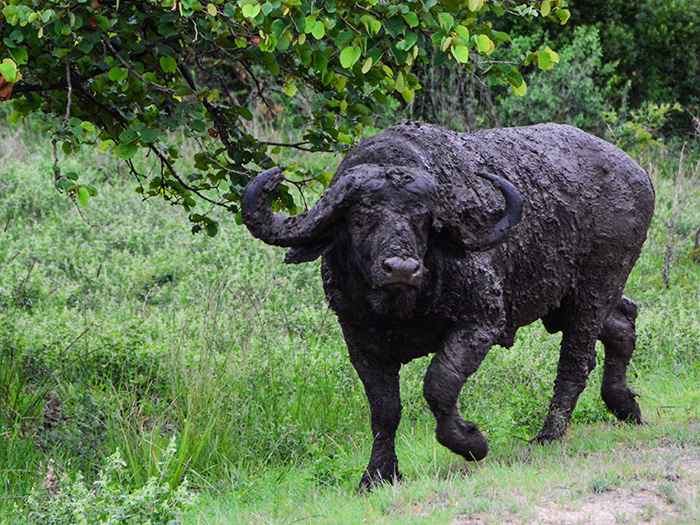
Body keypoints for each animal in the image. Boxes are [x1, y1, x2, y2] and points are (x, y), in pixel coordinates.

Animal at [241, 121, 656, 490]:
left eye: (423, 221)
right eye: (359, 219)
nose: (401, 268)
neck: (401, 308)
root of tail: (638, 174)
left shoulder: (480, 324)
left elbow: (439, 383)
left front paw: (471, 442)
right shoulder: (359, 340)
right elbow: (384, 410)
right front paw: (377, 474)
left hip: (593, 289)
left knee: (576, 360)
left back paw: (548, 436)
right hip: (567, 299)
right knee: (623, 321)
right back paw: (625, 406)